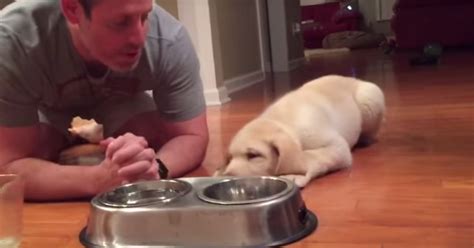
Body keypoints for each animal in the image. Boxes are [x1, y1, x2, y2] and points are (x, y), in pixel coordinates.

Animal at [215, 74, 386, 187]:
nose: (226, 176)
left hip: (369, 98)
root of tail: (353, 79)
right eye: (229, 158)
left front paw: (292, 174)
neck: (283, 121)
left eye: (253, 155)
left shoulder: (337, 146)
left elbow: (310, 156)